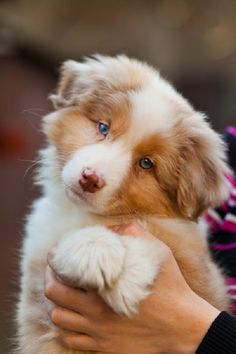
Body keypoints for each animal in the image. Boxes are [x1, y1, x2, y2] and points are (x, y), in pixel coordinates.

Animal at [17, 55, 230, 354]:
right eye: (103, 128)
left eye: (146, 163)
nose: (90, 179)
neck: (88, 214)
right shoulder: (39, 271)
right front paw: (93, 252)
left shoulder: (197, 267)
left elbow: (154, 238)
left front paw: (124, 279)